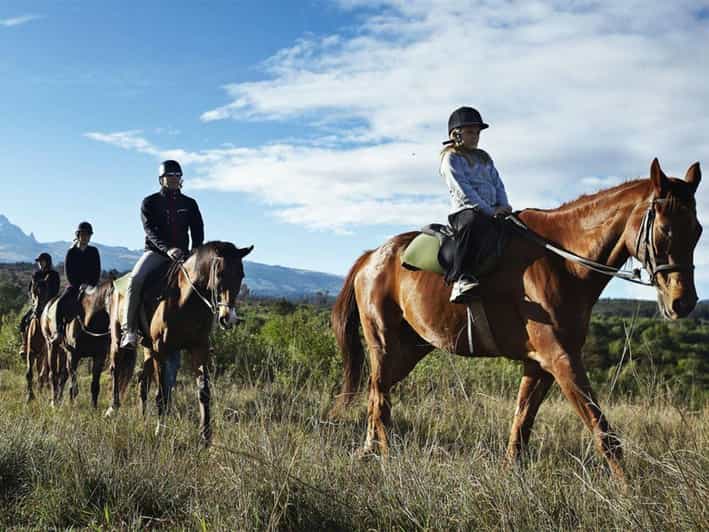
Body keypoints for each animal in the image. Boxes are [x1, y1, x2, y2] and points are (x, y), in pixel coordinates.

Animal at [105, 241, 253, 445]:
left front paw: (205, 437)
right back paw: (112, 409)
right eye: (220, 273)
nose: (228, 319)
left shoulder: (199, 348)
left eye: (241, 274)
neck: (187, 300)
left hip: (148, 349)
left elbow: (203, 391)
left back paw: (143, 418)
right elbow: (162, 394)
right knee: (116, 369)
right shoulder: (161, 350)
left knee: (143, 380)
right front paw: (160, 431)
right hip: (118, 339)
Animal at [331, 159, 702, 481]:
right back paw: (386, 457)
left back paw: (367, 452)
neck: (562, 262)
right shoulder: (561, 359)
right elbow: (603, 431)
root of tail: (371, 257)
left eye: (697, 230)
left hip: (410, 349)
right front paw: (629, 492)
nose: (683, 302)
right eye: (665, 231)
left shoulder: (539, 364)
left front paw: (510, 474)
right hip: (385, 344)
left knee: (376, 393)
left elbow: (522, 424)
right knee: (380, 397)